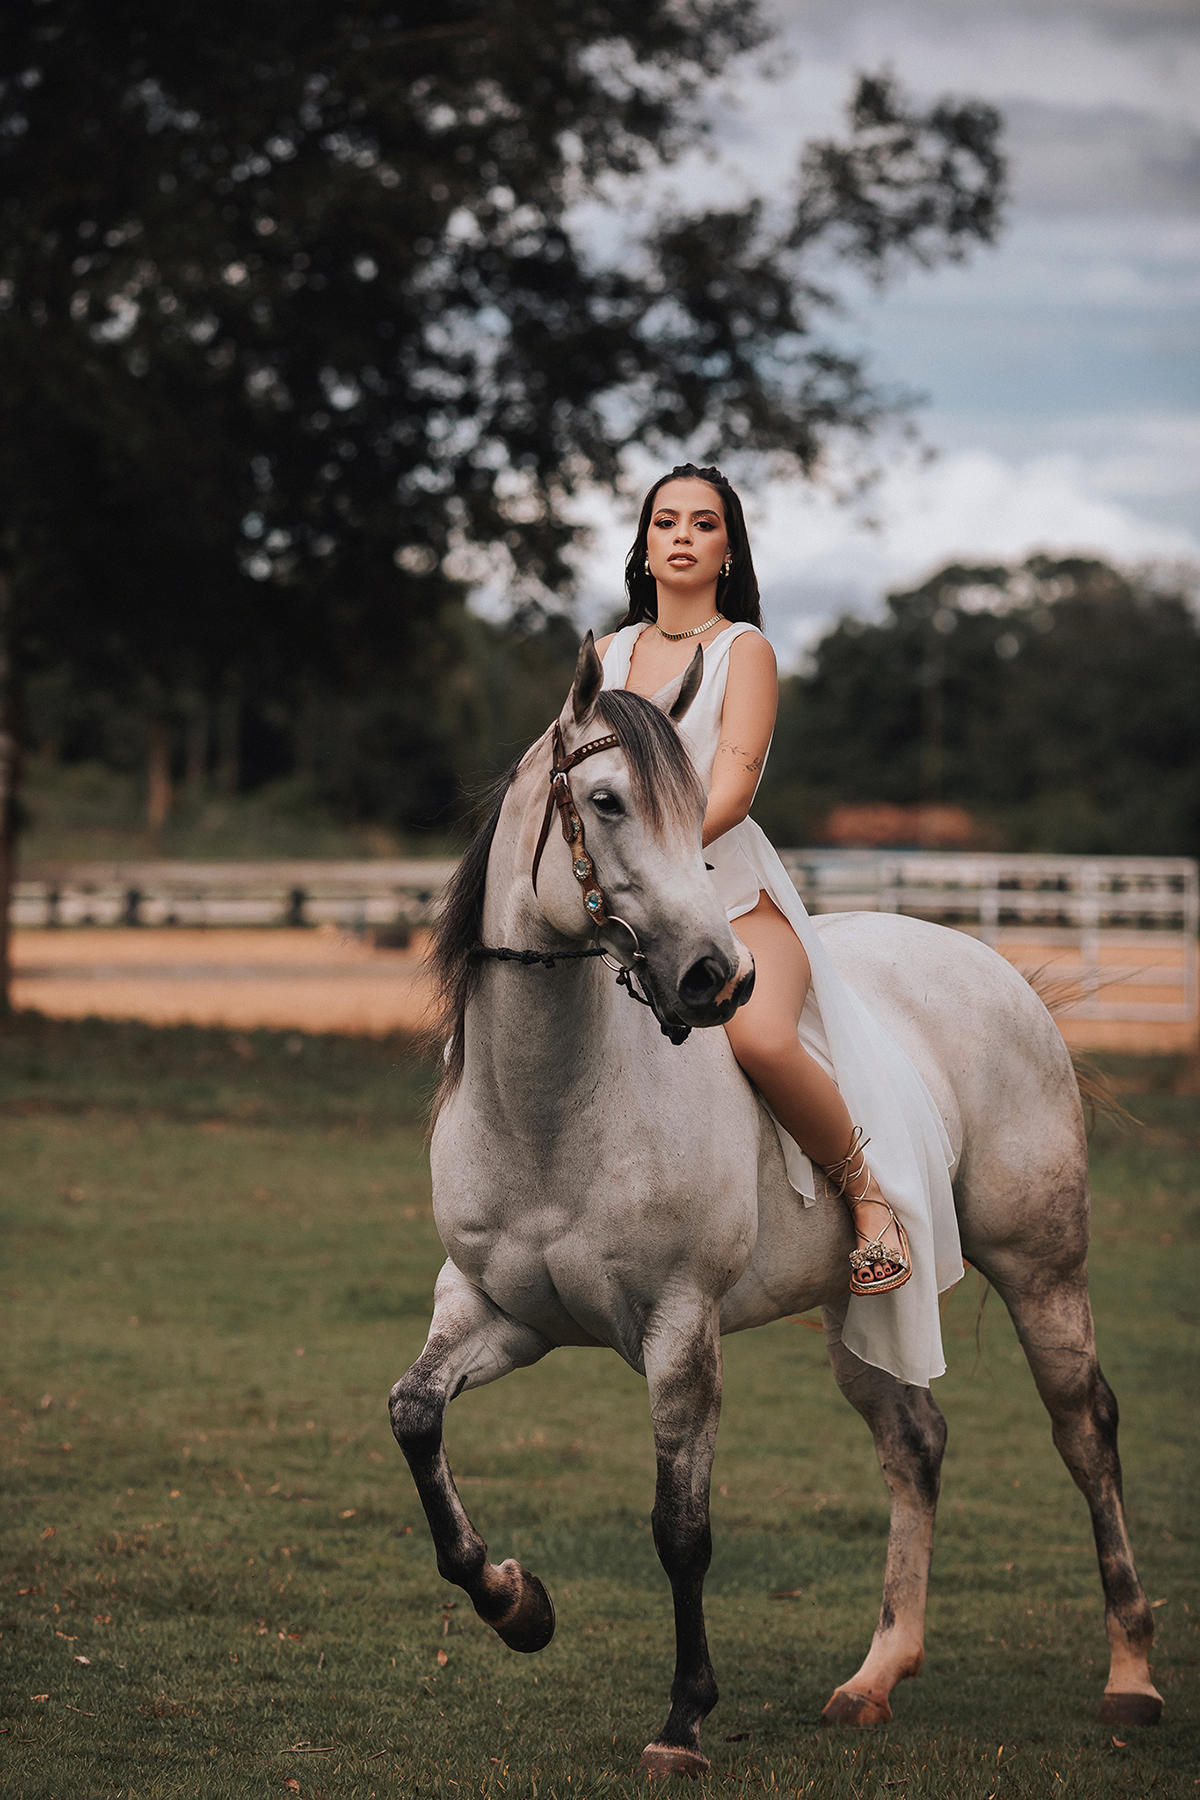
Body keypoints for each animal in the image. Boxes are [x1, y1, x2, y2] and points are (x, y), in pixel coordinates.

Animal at [390, 637, 1162, 1778]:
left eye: (689, 814)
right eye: (606, 802)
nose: (717, 978)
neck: (554, 1108)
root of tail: (996, 969)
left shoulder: (679, 1330)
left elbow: (681, 1527)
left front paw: (683, 1723)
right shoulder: (498, 1313)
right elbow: (415, 1418)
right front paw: (517, 1605)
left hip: (1042, 1270)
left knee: (1085, 1429)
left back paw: (1131, 1677)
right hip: (856, 1310)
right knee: (915, 1442)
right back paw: (876, 1677)